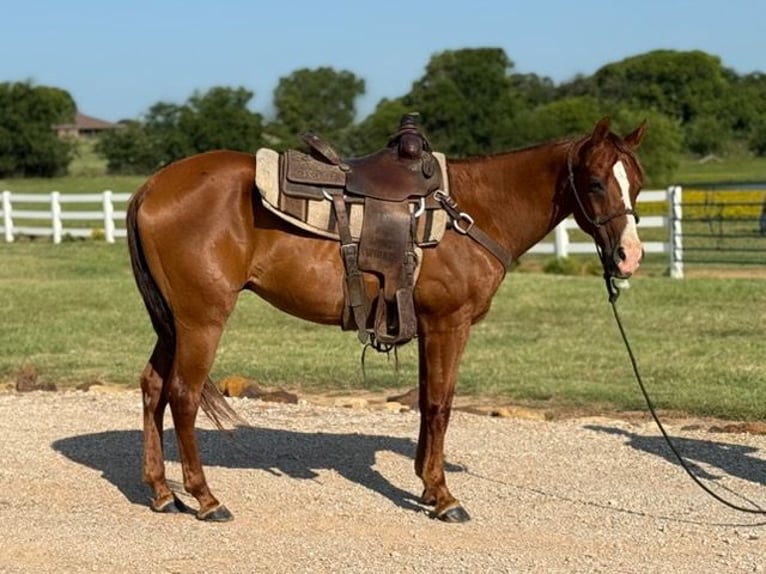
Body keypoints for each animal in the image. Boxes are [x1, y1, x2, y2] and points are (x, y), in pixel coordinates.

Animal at [126, 116, 646, 523]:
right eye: (596, 182)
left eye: (637, 183)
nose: (630, 257)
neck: (473, 213)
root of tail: (151, 186)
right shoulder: (448, 325)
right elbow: (439, 405)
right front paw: (444, 496)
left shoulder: (427, 325)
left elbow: (428, 402)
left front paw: (427, 486)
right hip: (201, 320)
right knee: (183, 396)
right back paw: (205, 498)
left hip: (173, 322)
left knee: (153, 386)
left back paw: (162, 491)